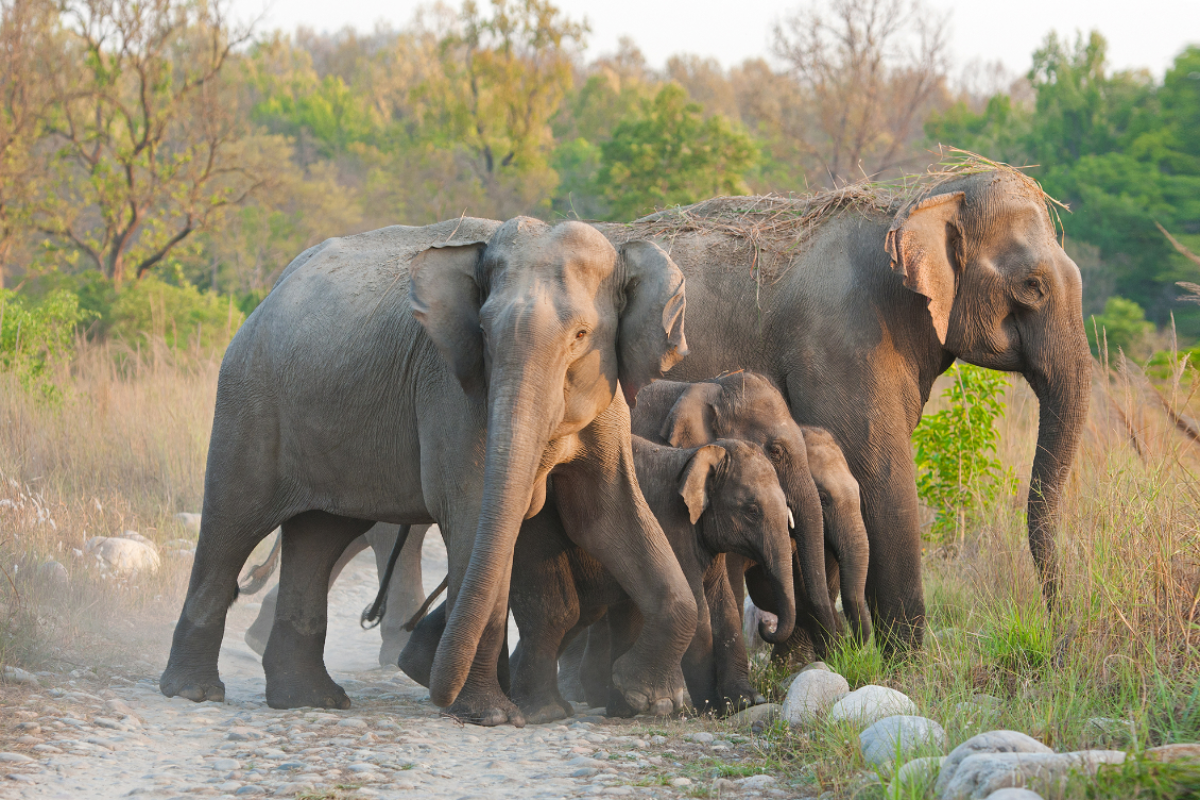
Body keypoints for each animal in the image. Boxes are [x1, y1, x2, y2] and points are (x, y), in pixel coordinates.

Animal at [163, 215, 700, 729]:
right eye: (483, 332)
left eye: (581, 336)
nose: (436, 693)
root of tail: (272, 291)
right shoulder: (452, 391)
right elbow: (472, 514)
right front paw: (491, 716)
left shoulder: (608, 398)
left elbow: (609, 516)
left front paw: (653, 702)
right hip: (248, 399)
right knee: (233, 523)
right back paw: (196, 692)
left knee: (319, 536)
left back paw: (309, 700)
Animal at [501, 434, 792, 724]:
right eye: (752, 510)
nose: (766, 626)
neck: (699, 454)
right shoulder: (673, 530)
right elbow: (700, 611)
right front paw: (713, 709)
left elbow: (725, 607)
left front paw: (747, 702)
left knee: (581, 617)